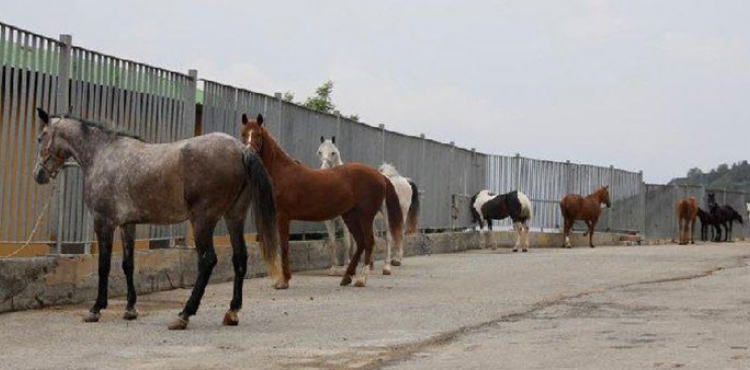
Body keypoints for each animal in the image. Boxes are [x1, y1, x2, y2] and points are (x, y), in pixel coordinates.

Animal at [241, 114, 406, 288]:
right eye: (243, 134)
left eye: (258, 134)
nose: (248, 154)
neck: (282, 172)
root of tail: (380, 175)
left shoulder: (283, 217)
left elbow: (284, 246)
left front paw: (284, 281)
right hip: (350, 216)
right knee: (360, 242)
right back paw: (346, 277)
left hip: (366, 216)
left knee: (369, 241)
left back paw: (362, 278)